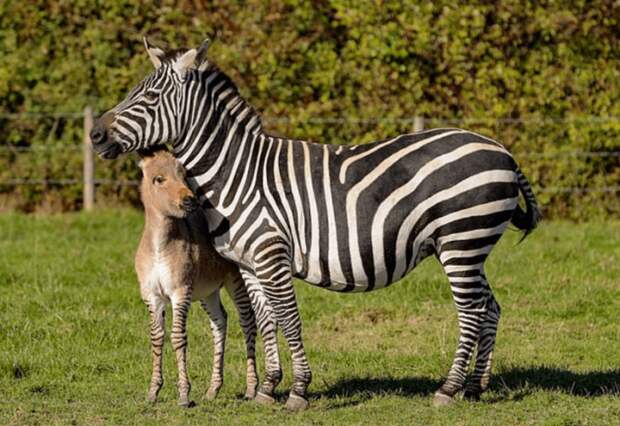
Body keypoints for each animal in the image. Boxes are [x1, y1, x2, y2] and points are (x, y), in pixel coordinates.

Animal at [136, 149, 260, 406]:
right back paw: (213, 389)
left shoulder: (180, 291)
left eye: (184, 176)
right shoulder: (152, 296)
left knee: (247, 322)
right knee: (220, 322)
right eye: (159, 179)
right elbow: (156, 337)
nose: (190, 201)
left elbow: (178, 337)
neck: (160, 245)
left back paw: (252, 388)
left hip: (236, 281)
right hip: (208, 290)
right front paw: (153, 391)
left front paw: (184, 395)